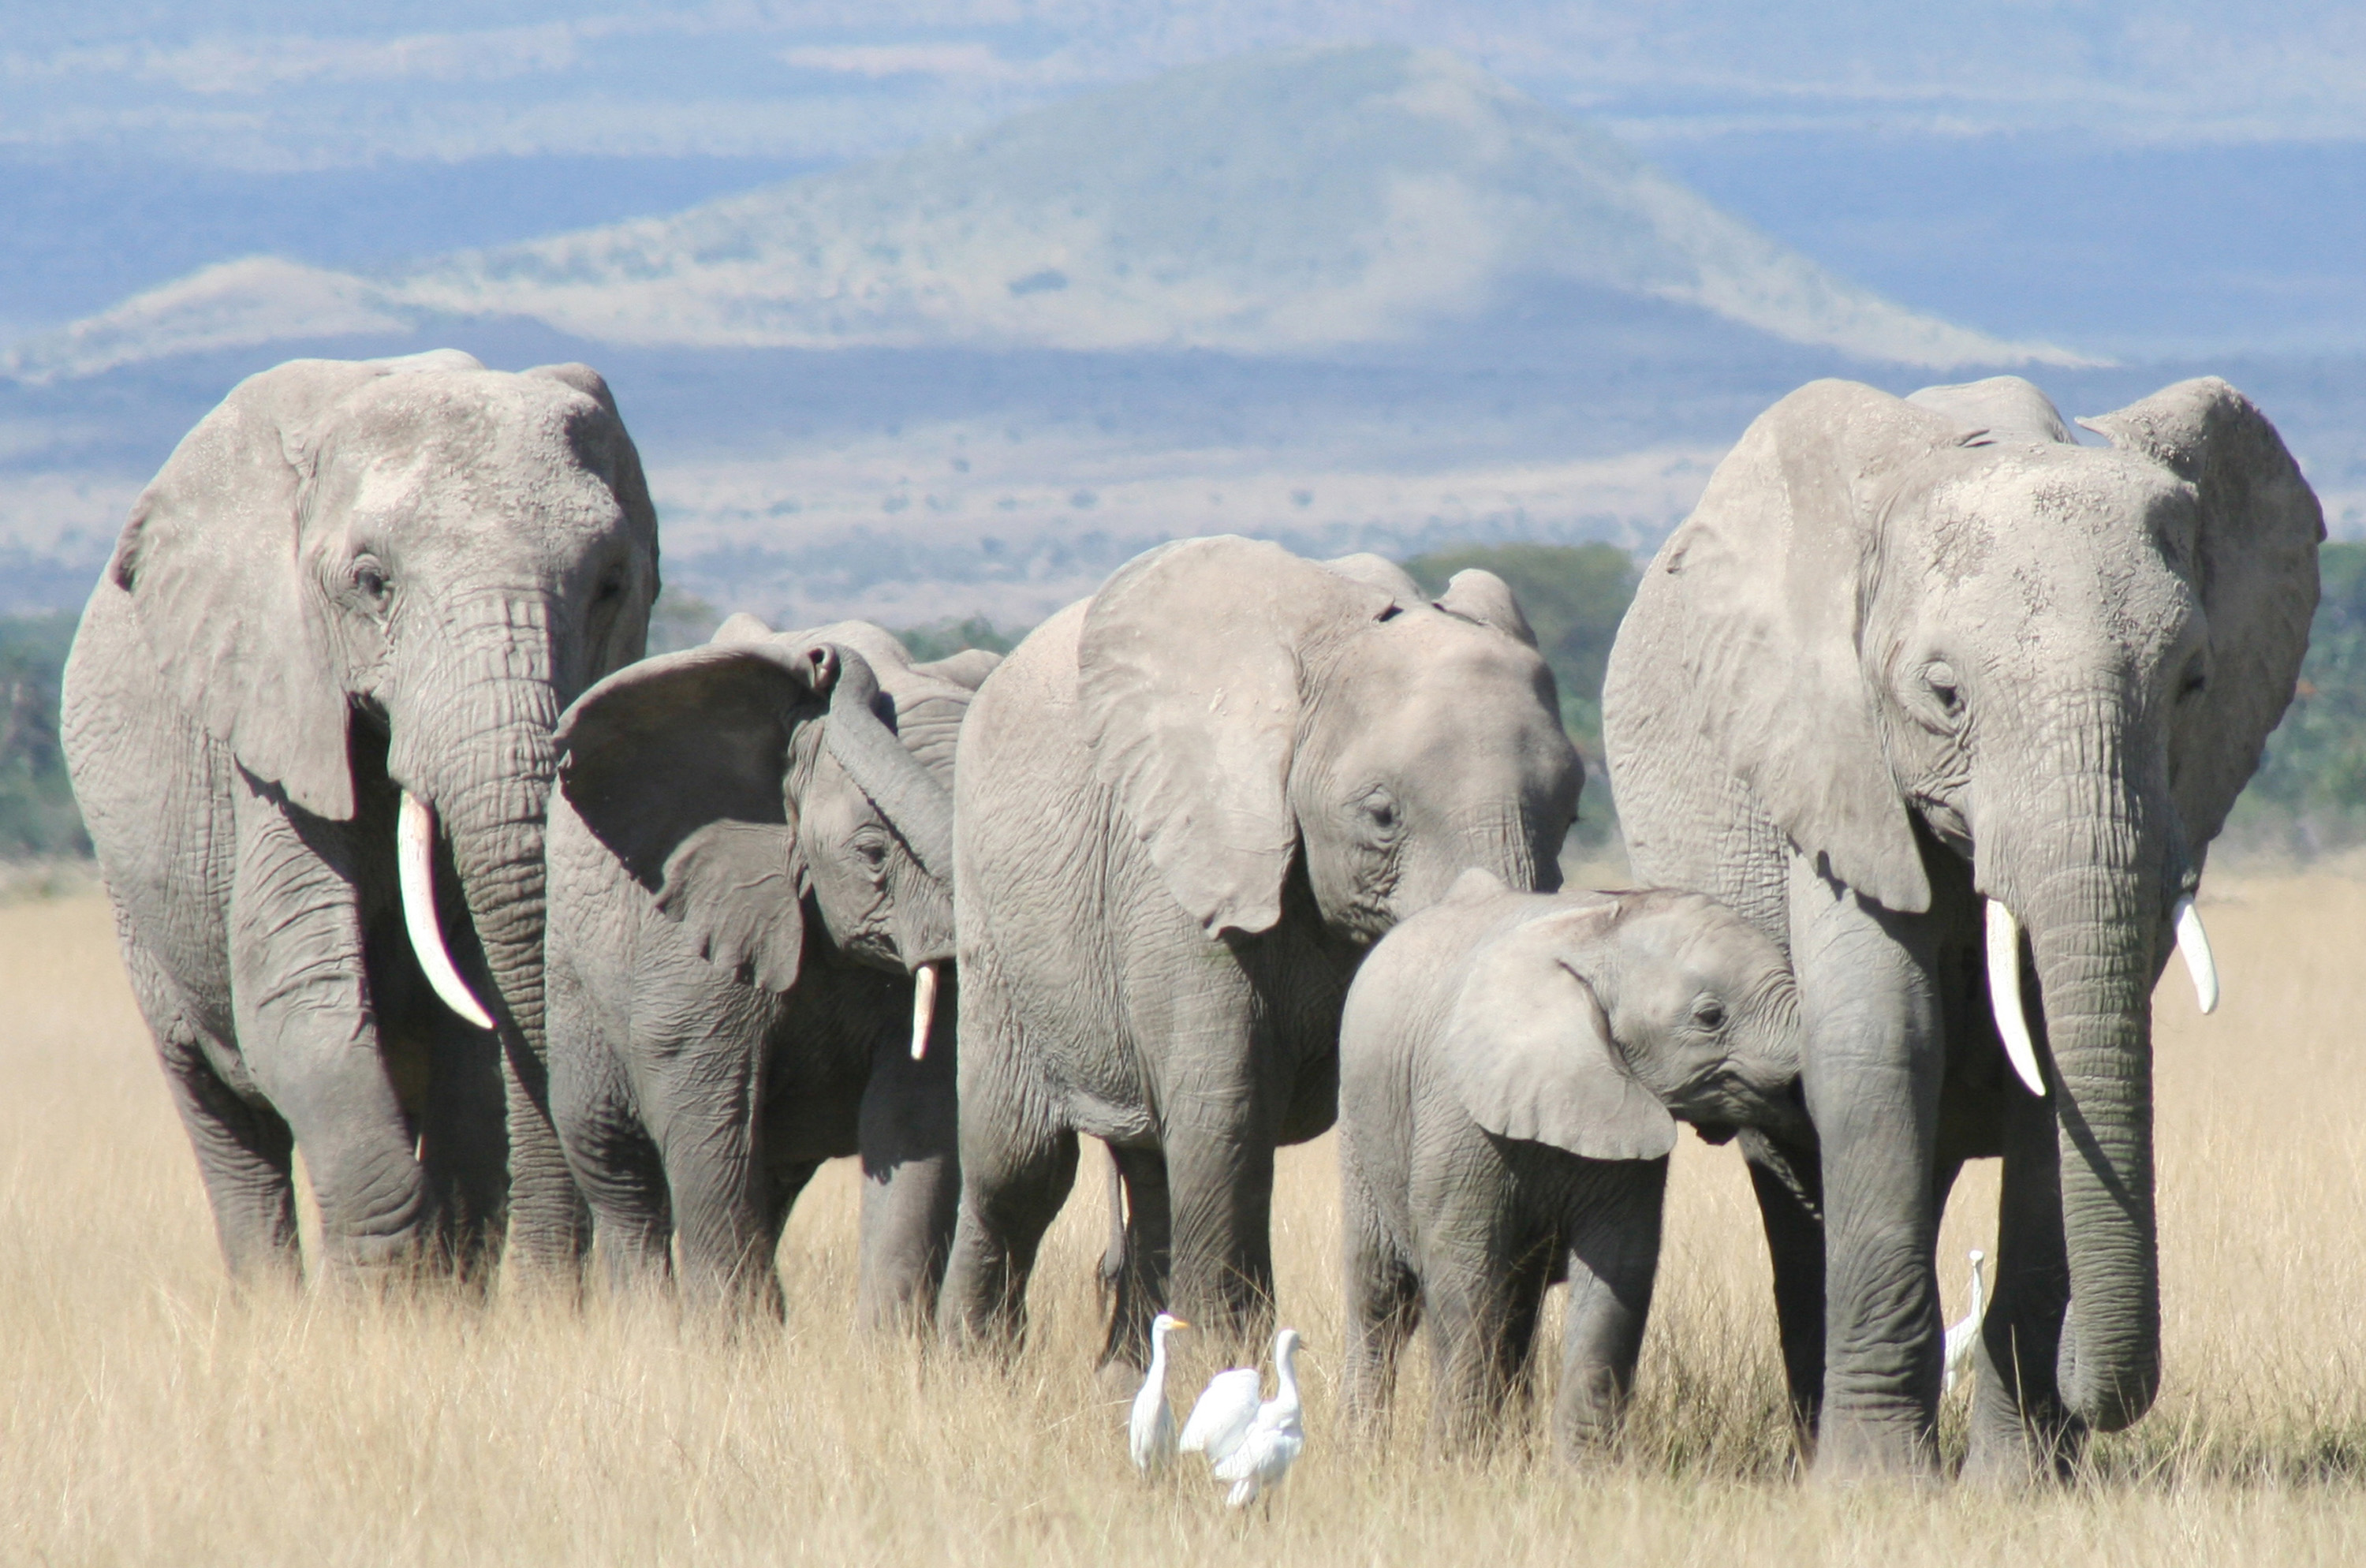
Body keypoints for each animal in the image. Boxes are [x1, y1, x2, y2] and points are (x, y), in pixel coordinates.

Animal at [65, 349, 658, 1286]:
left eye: (610, 586)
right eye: (373, 584)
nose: (555, 1292)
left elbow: (473, 1038)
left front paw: (440, 1288)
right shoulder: (274, 712)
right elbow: (295, 994)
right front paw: (381, 1292)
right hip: (136, 904)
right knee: (225, 1117)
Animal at [547, 619, 989, 1334]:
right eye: (873, 855)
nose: (823, 659)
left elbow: (917, 1110)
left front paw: (887, 1352)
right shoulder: (699, 918)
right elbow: (705, 1102)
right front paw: (732, 1347)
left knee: (774, 1177)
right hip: (572, 967)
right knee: (614, 1162)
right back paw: (648, 1330)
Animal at [932, 534, 1580, 1372]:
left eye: (1571, 814)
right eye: (1381, 815)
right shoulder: (1185, 871)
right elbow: (1227, 1116)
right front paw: (1225, 1367)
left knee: (1149, 1166)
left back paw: (1123, 1375)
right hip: (994, 912)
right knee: (1019, 1165)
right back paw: (970, 1371)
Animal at [1334, 870, 1808, 1457]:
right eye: (1709, 1017)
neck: (1595, 936)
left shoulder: (1625, 1120)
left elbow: (1619, 1270)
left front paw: (1581, 1471)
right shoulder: (1460, 1117)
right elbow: (1463, 1272)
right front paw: (1456, 1464)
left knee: (1517, 1307)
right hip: (1361, 1123)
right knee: (1381, 1295)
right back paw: (1362, 1451)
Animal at [1599, 373, 2319, 1476]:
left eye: (2194, 684)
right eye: (1943, 695)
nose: (2090, 1378)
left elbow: (2055, 1079)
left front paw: (2019, 1486)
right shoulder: (1832, 754)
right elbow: (1880, 1042)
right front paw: (1876, 1487)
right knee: (1793, 1169)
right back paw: (1823, 1438)